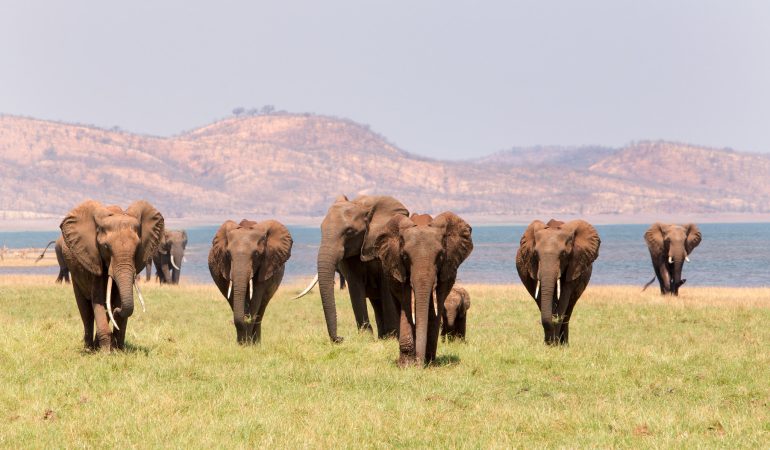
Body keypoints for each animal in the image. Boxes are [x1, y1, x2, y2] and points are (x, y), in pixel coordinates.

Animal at [60, 200, 164, 351]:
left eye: (137, 247)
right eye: (106, 247)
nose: (116, 311)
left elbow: (117, 299)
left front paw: (118, 349)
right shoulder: (94, 257)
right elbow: (98, 299)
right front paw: (105, 351)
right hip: (75, 271)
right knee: (85, 310)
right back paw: (89, 348)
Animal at [295, 194, 409, 343]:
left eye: (349, 231)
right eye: (321, 229)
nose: (340, 338)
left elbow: (385, 286)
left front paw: (391, 339)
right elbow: (355, 286)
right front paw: (366, 338)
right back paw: (382, 337)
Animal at [376, 212, 473, 366]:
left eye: (440, 256)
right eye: (405, 256)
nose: (419, 363)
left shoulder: (446, 268)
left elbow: (436, 305)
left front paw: (429, 362)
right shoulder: (399, 267)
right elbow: (406, 305)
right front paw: (406, 366)